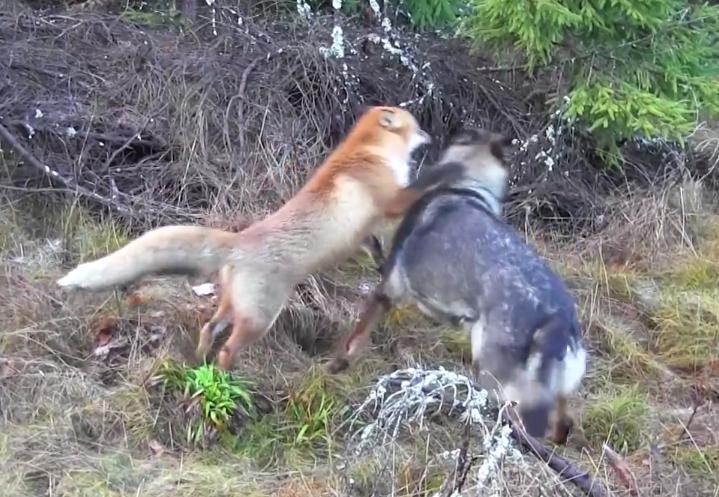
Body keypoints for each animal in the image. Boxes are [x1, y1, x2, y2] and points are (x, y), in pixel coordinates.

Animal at [57, 107, 462, 368]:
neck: (371, 154)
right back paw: (223, 380)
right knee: (227, 350)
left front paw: (380, 261)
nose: (432, 135)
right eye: (418, 126)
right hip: (261, 319)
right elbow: (423, 188)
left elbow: (374, 247)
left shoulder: (365, 229)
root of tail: (239, 243)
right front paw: (454, 169)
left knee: (209, 328)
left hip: (233, 306)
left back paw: (199, 365)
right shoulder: (391, 200)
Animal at [330, 128, 588, 442]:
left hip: (498, 377)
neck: (468, 184)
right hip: (558, 388)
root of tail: (558, 319)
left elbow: (355, 337)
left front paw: (337, 365)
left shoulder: (389, 286)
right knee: (564, 424)